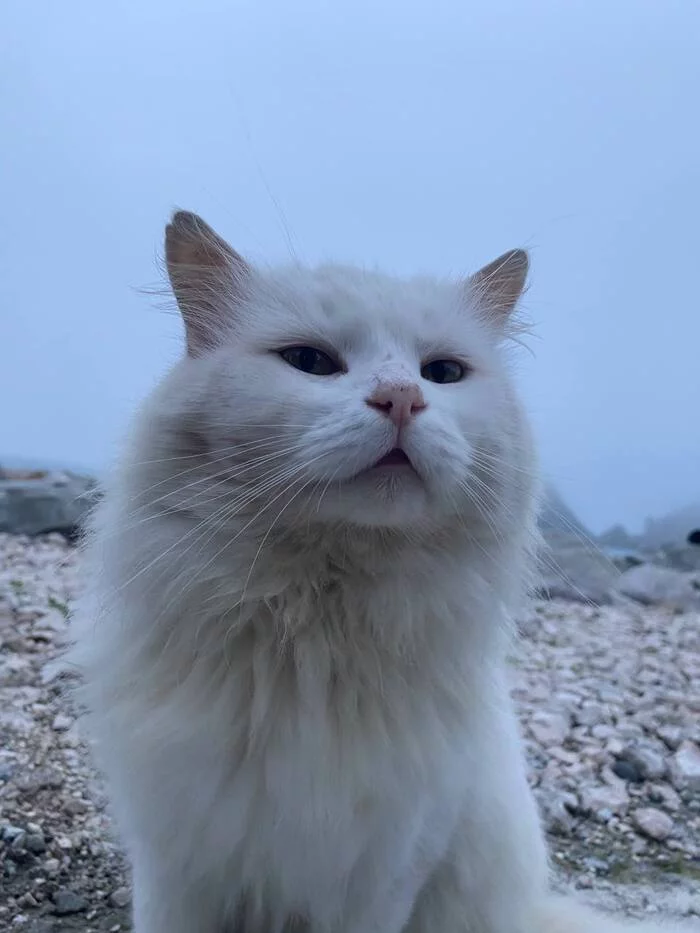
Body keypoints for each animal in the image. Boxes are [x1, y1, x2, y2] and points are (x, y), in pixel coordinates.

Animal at [69, 213, 696, 932]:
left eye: (443, 372)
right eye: (310, 362)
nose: (401, 398)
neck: (315, 638)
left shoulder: (385, 872)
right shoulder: (176, 866)